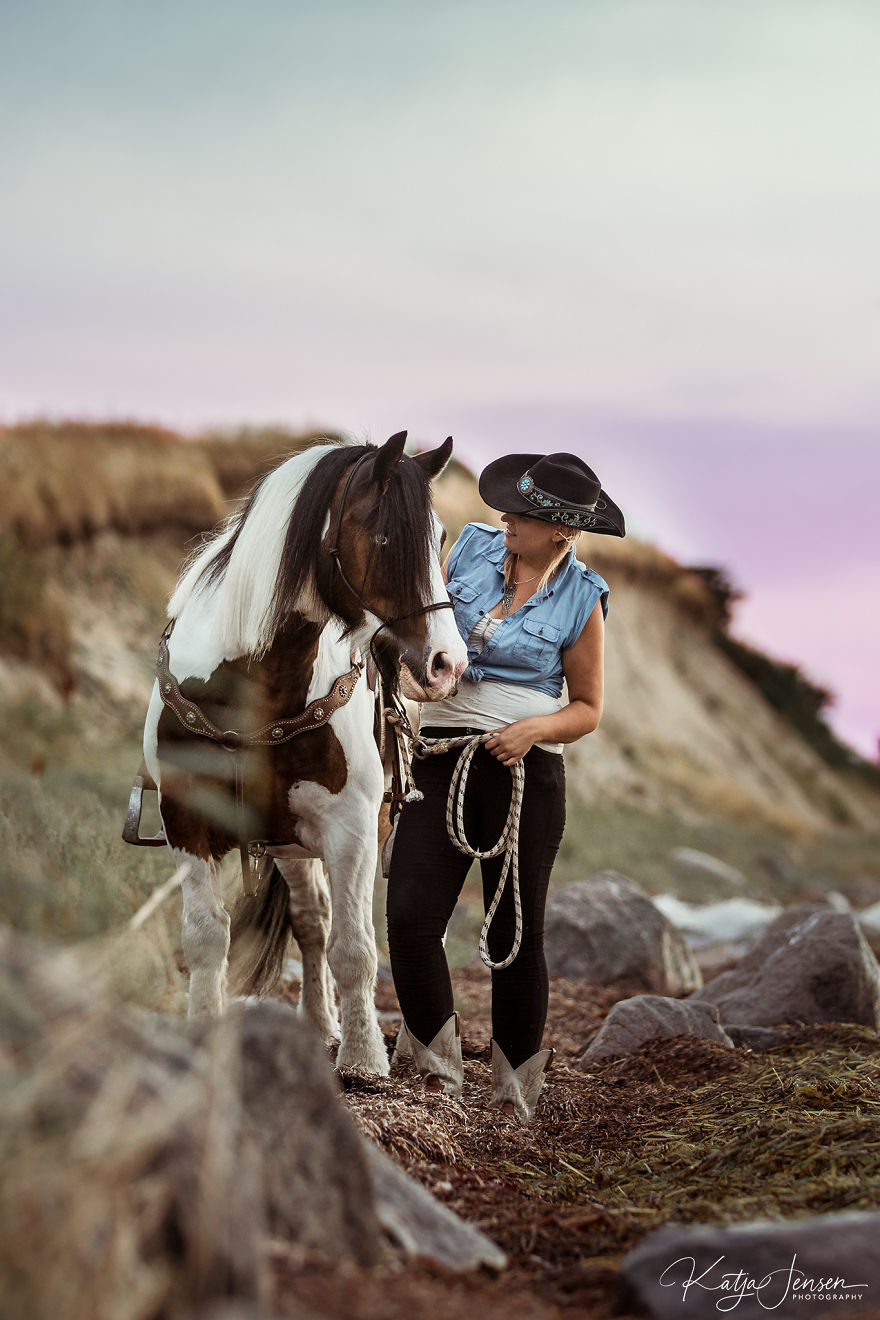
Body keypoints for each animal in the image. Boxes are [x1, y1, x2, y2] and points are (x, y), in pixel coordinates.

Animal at [141, 431, 468, 1075]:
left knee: (403, 928)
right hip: (290, 842)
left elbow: (356, 949)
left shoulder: (352, 830)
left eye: (440, 537)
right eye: (385, 537)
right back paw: (318, 1025)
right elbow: (206, 937)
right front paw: (203, 1031)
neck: (255, 685)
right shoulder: (186, 820)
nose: (449, 663)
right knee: (311, 922)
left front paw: (364, 1060)